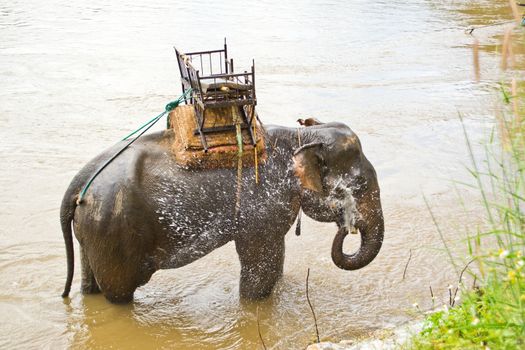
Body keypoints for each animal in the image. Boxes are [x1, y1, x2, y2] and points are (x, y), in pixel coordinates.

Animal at [61, 119, 382, 302]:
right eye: (360, 184)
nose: (347, 227)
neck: (301, 134)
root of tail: (78, 182)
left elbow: (274, 262)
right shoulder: (260, 205)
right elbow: (261, 266)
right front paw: (254, 304)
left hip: (94, 229)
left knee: (92, 284)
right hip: (114, 230)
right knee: (118, 293)